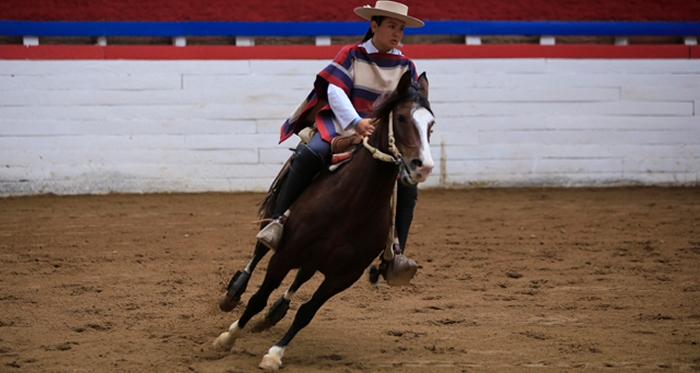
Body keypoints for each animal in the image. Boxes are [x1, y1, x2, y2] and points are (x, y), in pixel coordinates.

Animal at [213, 70, 432, 370]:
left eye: (431, 124)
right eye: (400, 117)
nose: (423, 166)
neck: (352, 207)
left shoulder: (344, 276)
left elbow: (307, 312)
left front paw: (275, 353)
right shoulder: (285, 255)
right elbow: (258, 297)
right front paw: (227, 338)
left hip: (318, 259)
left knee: (302, 277)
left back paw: (274, 314)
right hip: (279, 224)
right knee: (260, 249)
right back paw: (234, 292)